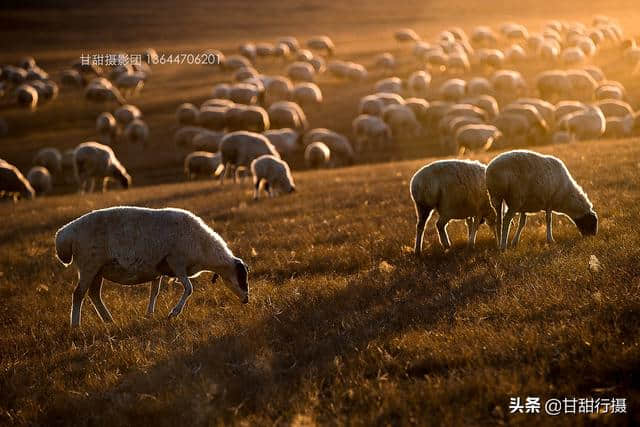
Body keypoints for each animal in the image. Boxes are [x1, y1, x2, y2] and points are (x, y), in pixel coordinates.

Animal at [54, 207, 250, 328]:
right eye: (242, 277)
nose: (247, 300)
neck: (204, 248)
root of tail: (64, 234)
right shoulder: (177, 263)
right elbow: (189, 289)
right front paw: (173, 313)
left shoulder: (158, 270)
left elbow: (154, 292)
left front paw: (149, 314)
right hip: (88, 265)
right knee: (78, 294)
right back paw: (76, 326)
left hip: (97, 270)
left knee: (94, 295)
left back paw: (109, 321)